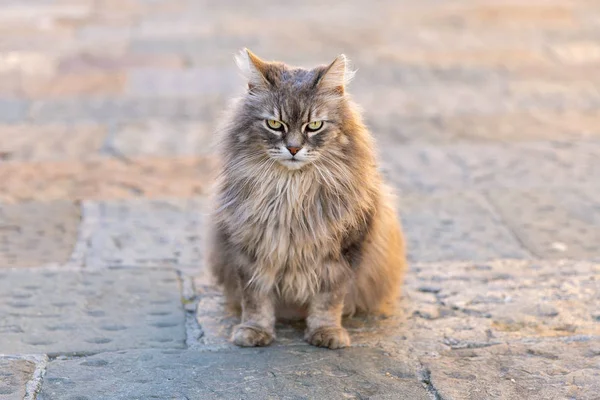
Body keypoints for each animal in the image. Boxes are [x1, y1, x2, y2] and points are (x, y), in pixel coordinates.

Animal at [207, 49, 408, 350]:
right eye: (274, 124)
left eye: (314, 126)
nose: (293, 148)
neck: (291, 190)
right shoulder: (250, 249)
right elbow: (255, 299)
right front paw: (254, 331)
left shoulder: (341, 254)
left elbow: (328, 302)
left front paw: (327, 333)